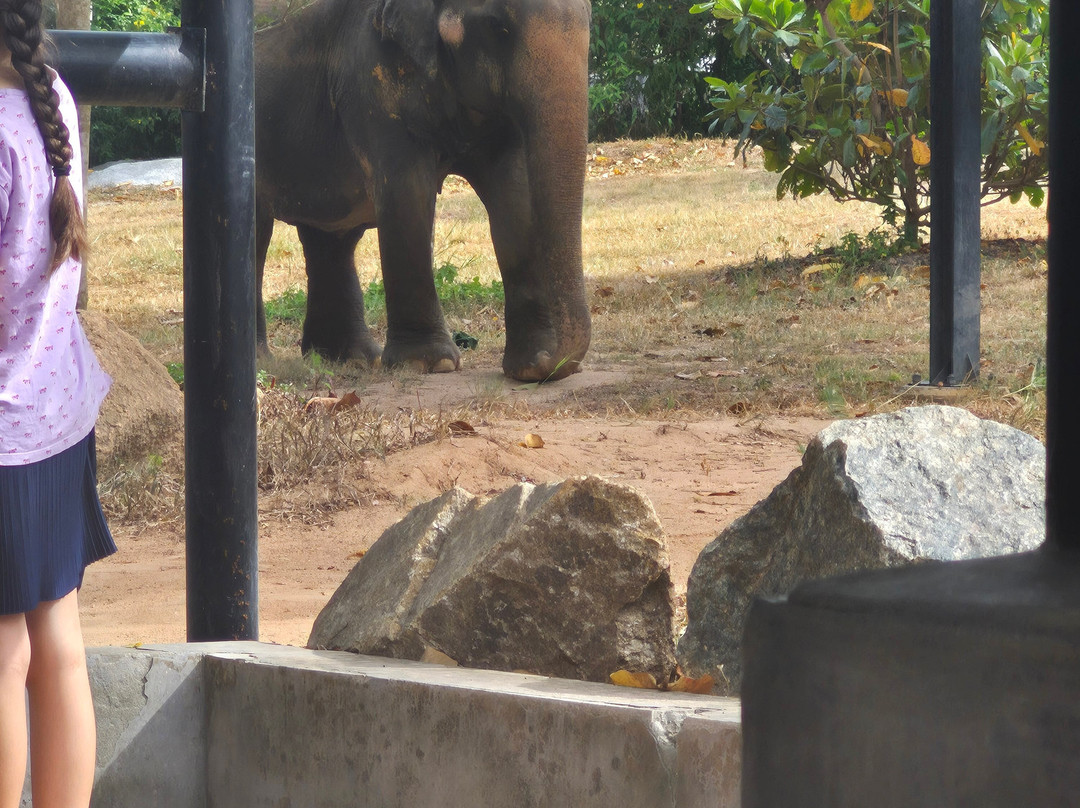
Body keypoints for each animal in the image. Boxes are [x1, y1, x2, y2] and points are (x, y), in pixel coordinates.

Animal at [253, 0, 592, 381]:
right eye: (497, 27)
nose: (552, 361)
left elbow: (514, 197)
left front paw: (528, 365)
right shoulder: (371, 79)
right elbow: (407, 196)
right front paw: (429, 363)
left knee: (331, 238)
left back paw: (352, 359)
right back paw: (263, 362)